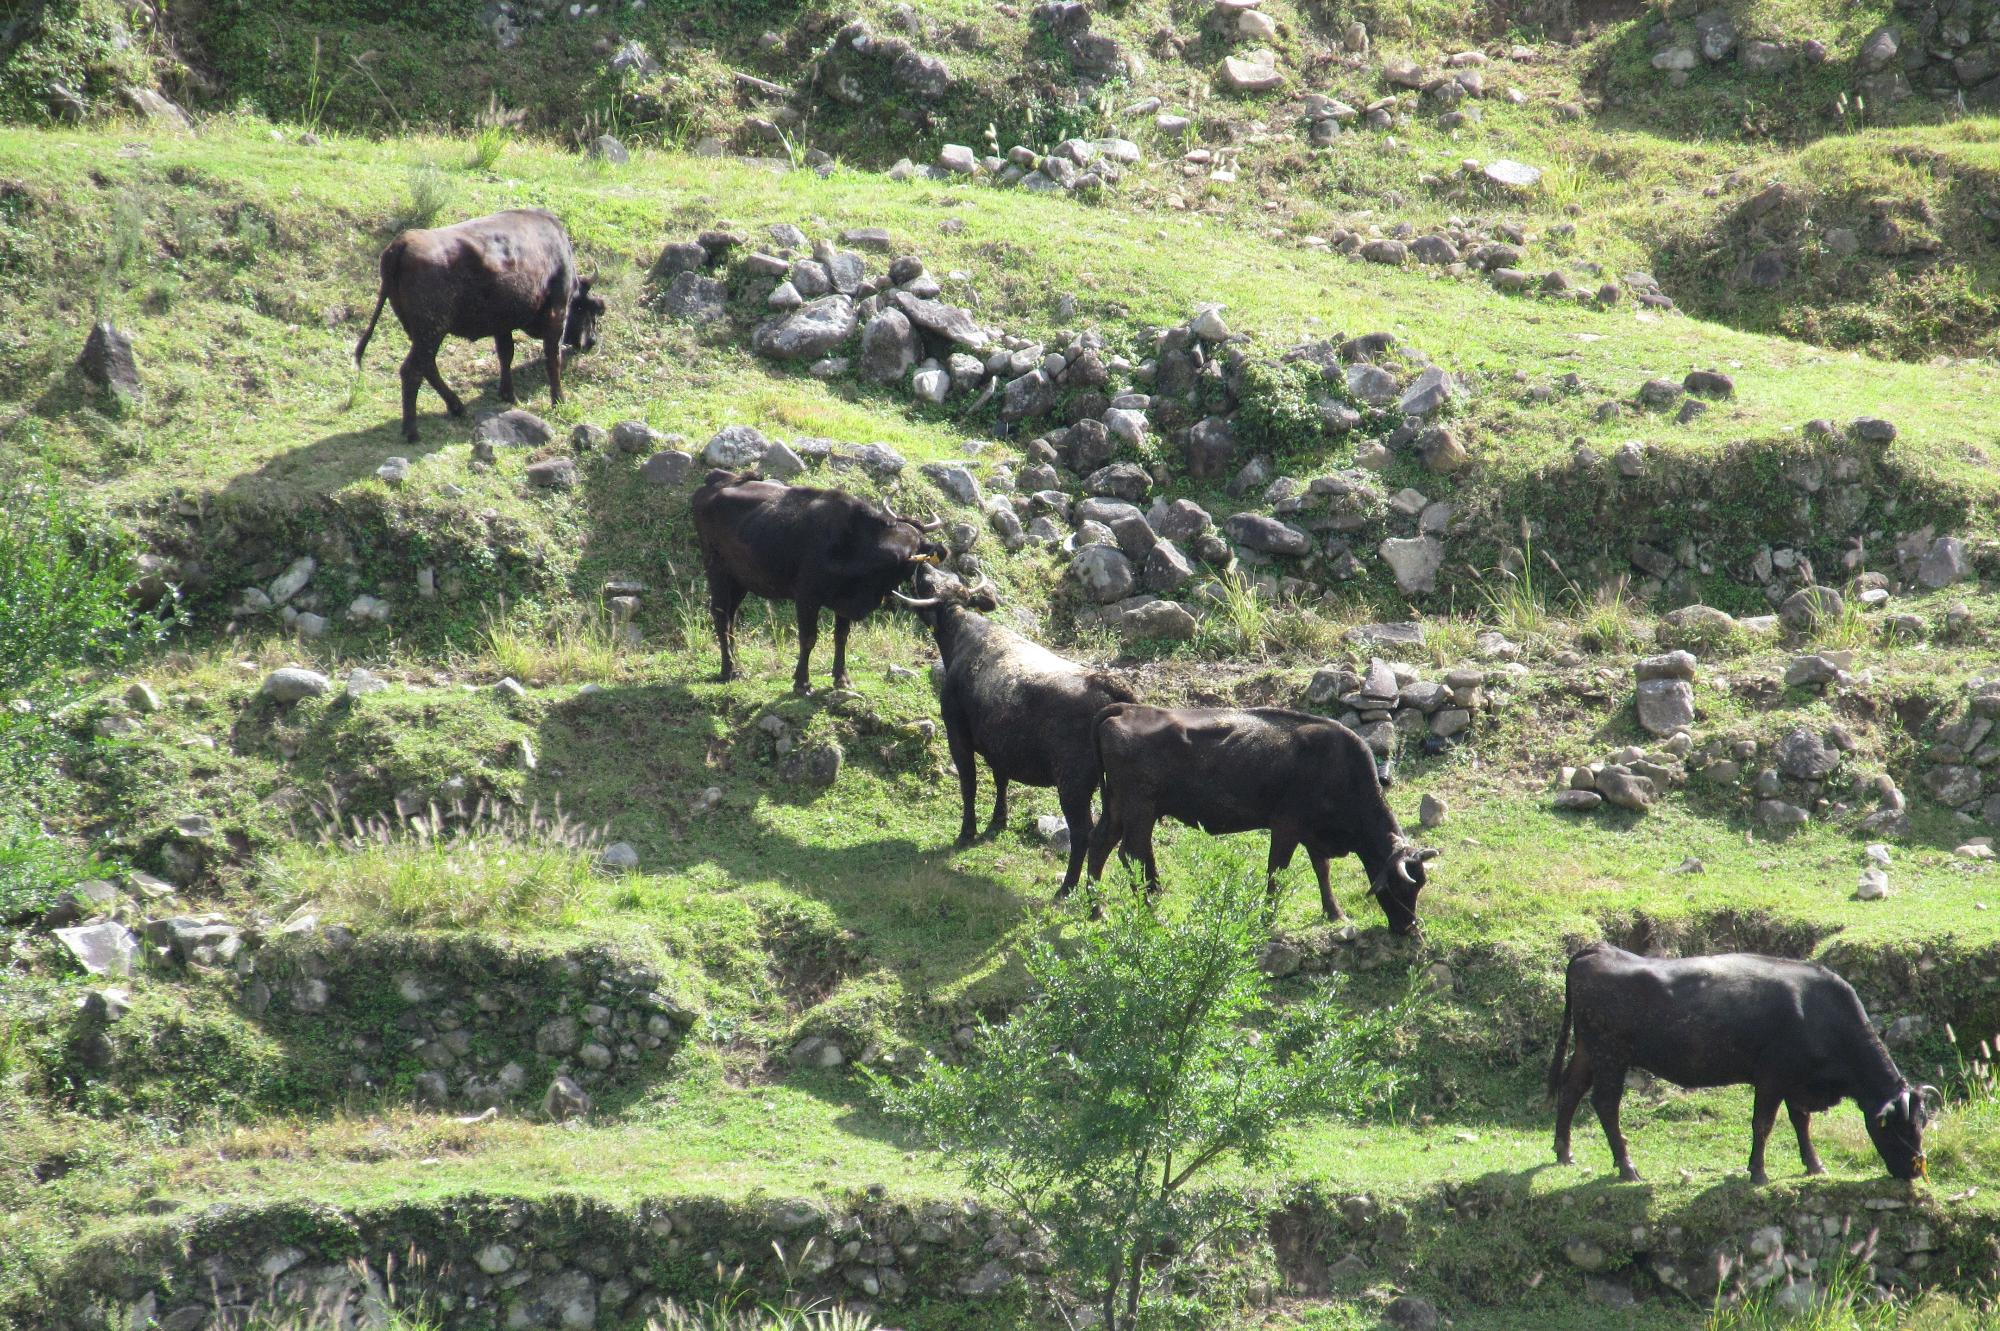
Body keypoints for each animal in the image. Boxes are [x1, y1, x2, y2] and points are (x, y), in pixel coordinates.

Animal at [354, 207, 600, 443]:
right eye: (592, 308)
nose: (592, 341)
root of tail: (402, 242)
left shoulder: (502, 325)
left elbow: (506, 355)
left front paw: (509, 395)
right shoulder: (556, 317)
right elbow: (552, 359)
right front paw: (559, 400)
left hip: (422, 334)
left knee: (428, 366)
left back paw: (457, 407)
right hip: (431, 332)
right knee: (412, 371)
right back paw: (412, 431)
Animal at [692, 469, 948, 695]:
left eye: (919, 544)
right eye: (900, 538)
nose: (899, 555)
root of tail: (717, 479)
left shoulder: (844, 603)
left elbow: (841, 637)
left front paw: (841, 678)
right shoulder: (806, 597)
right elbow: (808, 638)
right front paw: (802, 683)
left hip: (739, 580)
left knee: (731, 617)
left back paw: (737, 664)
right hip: (716, 569)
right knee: (720, 614)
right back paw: (728, 670)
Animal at [900, 563, 1136, 891]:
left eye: (928, 584)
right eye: (943, 576)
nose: (922, 564)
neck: (963, 636)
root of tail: (1105, 683)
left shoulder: (957, 733)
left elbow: (969, 785)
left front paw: (967, 833)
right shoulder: (1000, 746)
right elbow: (1001, 780)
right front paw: (998, 821)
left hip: (1073, 783)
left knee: (1083, 833)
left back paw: (1066, 888)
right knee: (1107, 834)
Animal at [1080, 699, 1440, 927]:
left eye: (1421, 884)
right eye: (1401, 886)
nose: (1410, 928)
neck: (1340, 769)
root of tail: (1127, 708)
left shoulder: (1312, 832)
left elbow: (1321, 870)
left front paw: (1335, 913)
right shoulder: (1286, 826)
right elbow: (1276, 873)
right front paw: (1268, 919)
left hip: (1119, 806)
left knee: (1099, 844)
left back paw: (1097, 910)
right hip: (1141, 807)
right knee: (1132, 853)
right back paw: (1151, 913)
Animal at [1544, 943, 1936, 1183]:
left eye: (1923, 1123)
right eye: (1898, 1127)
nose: (1914, 1171)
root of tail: (1598, 949)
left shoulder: (1797, 1081)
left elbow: (1801, 1123)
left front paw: (1814, 1166)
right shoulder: (1772, 1076)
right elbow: (1763, 1124)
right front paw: (1758, 1173)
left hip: (1589, 1050)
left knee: (1571, 1089)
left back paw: (1564, 1153)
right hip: (1611, 1055)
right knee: (1605, 1104)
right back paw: (1627, 1168)